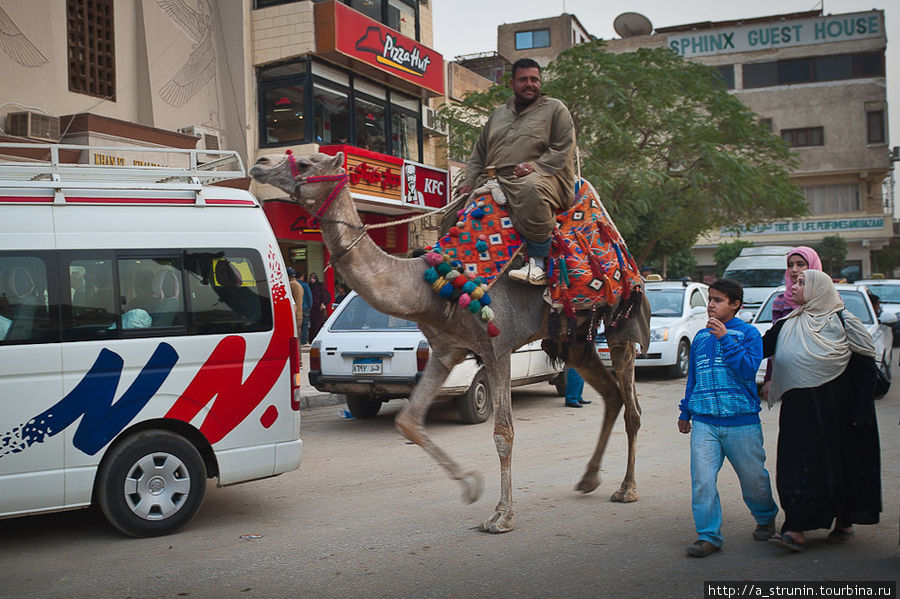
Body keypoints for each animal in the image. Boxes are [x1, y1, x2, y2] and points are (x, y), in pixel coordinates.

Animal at [250, 151, 652, 536]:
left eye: (305, 163)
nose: (261, 163)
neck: (428, 287)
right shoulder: (445, 352)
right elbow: (409, 423)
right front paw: (471, 486)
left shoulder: (497, 348)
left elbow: (503, 432)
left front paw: (501, 516)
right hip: (573, 340)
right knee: (612, 395)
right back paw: (589, 478)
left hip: (623, 321)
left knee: (631, 404)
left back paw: (627, 488)